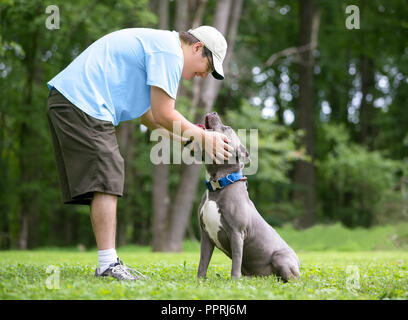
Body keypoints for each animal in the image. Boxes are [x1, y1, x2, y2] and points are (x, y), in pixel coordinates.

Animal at [196, 111, 302, 282]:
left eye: (227, 127)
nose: (213, 112)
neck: (218, 185)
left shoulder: (237, 233)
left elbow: (236, 262)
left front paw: (234, 282)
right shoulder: (206, 236)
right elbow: (203, 263)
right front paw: (199, 281)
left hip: (281, 258)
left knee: (292, 278)